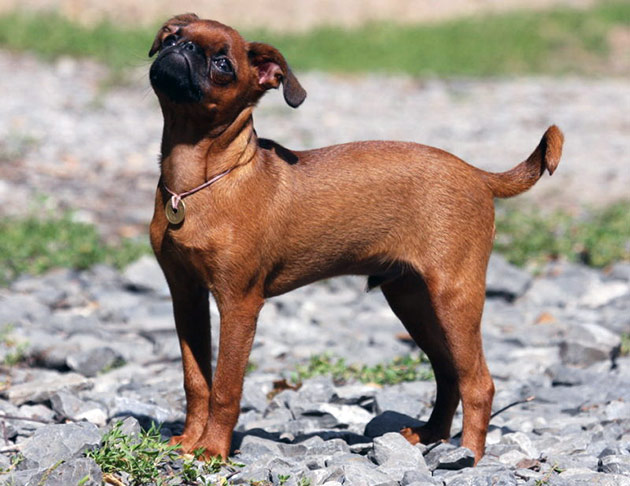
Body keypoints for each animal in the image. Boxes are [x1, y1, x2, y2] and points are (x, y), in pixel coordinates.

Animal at [147, 14, 564, 464]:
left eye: (223, 64)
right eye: (172, 37)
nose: (183, 48)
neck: (195, 182)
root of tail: (477, 173)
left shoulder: (239, 304)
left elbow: (225, 386)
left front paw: (212, 450)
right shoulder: (186, 296)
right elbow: (196, 380)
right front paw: (189, 441)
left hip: (455, 297)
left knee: (478, 382)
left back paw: (468, 453)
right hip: (413, 300)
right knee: (449, 373)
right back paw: (431, 436)